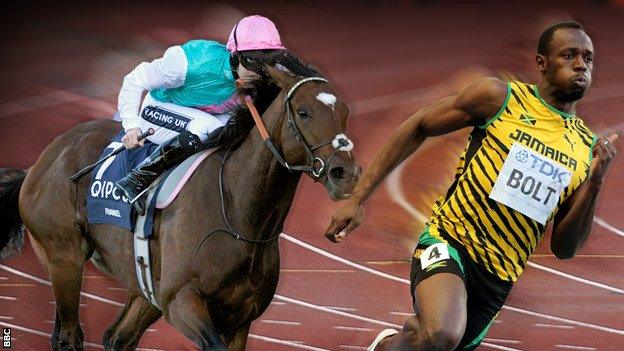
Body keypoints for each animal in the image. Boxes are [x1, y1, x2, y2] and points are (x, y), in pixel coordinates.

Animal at [0, 66, 358, 351]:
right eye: (304, 111)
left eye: (344, 113)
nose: (345, 173)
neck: (240, 213)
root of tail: (39, 163)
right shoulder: (181, 301)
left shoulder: (240, 318)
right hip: (64, 258)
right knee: (68, 336)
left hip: (145, 287)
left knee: (117, 337)